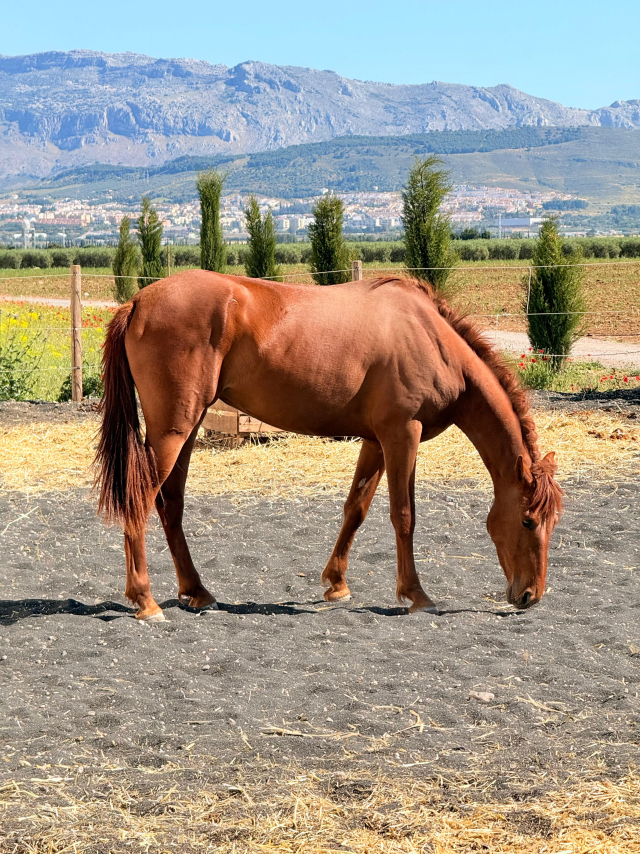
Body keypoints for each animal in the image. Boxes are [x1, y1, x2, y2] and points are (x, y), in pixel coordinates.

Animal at [95, 272, 563, 622]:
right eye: (527, 521)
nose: (530, 596)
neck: (430, 339)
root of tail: (138, 302)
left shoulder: (376, 440)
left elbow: (356, 509)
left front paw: (337, 584)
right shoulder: (402, 434)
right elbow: (404, 515)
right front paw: (416, 595)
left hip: (186, 430)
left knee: (170, 503)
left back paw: (196, 591)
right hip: (172, 432)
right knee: (142, 498)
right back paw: (145, 601)